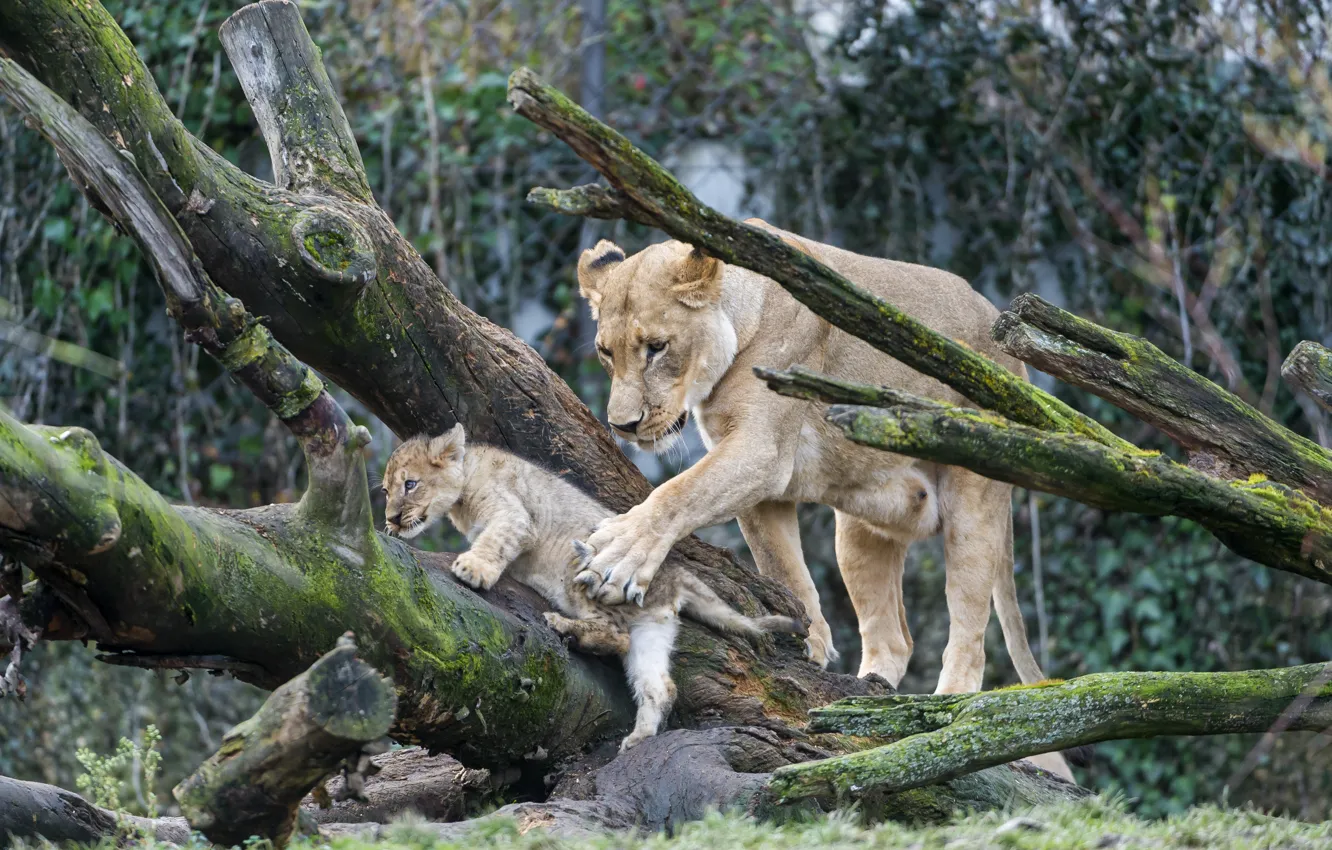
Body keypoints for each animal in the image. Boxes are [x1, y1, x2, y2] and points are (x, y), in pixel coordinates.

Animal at [381, 424, 806, 751]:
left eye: (410, 484)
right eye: (385, 491)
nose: (391, 520)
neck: (465, 484)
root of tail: (675, 575)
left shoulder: (515, 516)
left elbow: (494, 541)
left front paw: (473, 568)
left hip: (584, 569)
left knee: (615, 634)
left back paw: (564, 626)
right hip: (653, 631)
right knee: (656, 681)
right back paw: (638, 738)